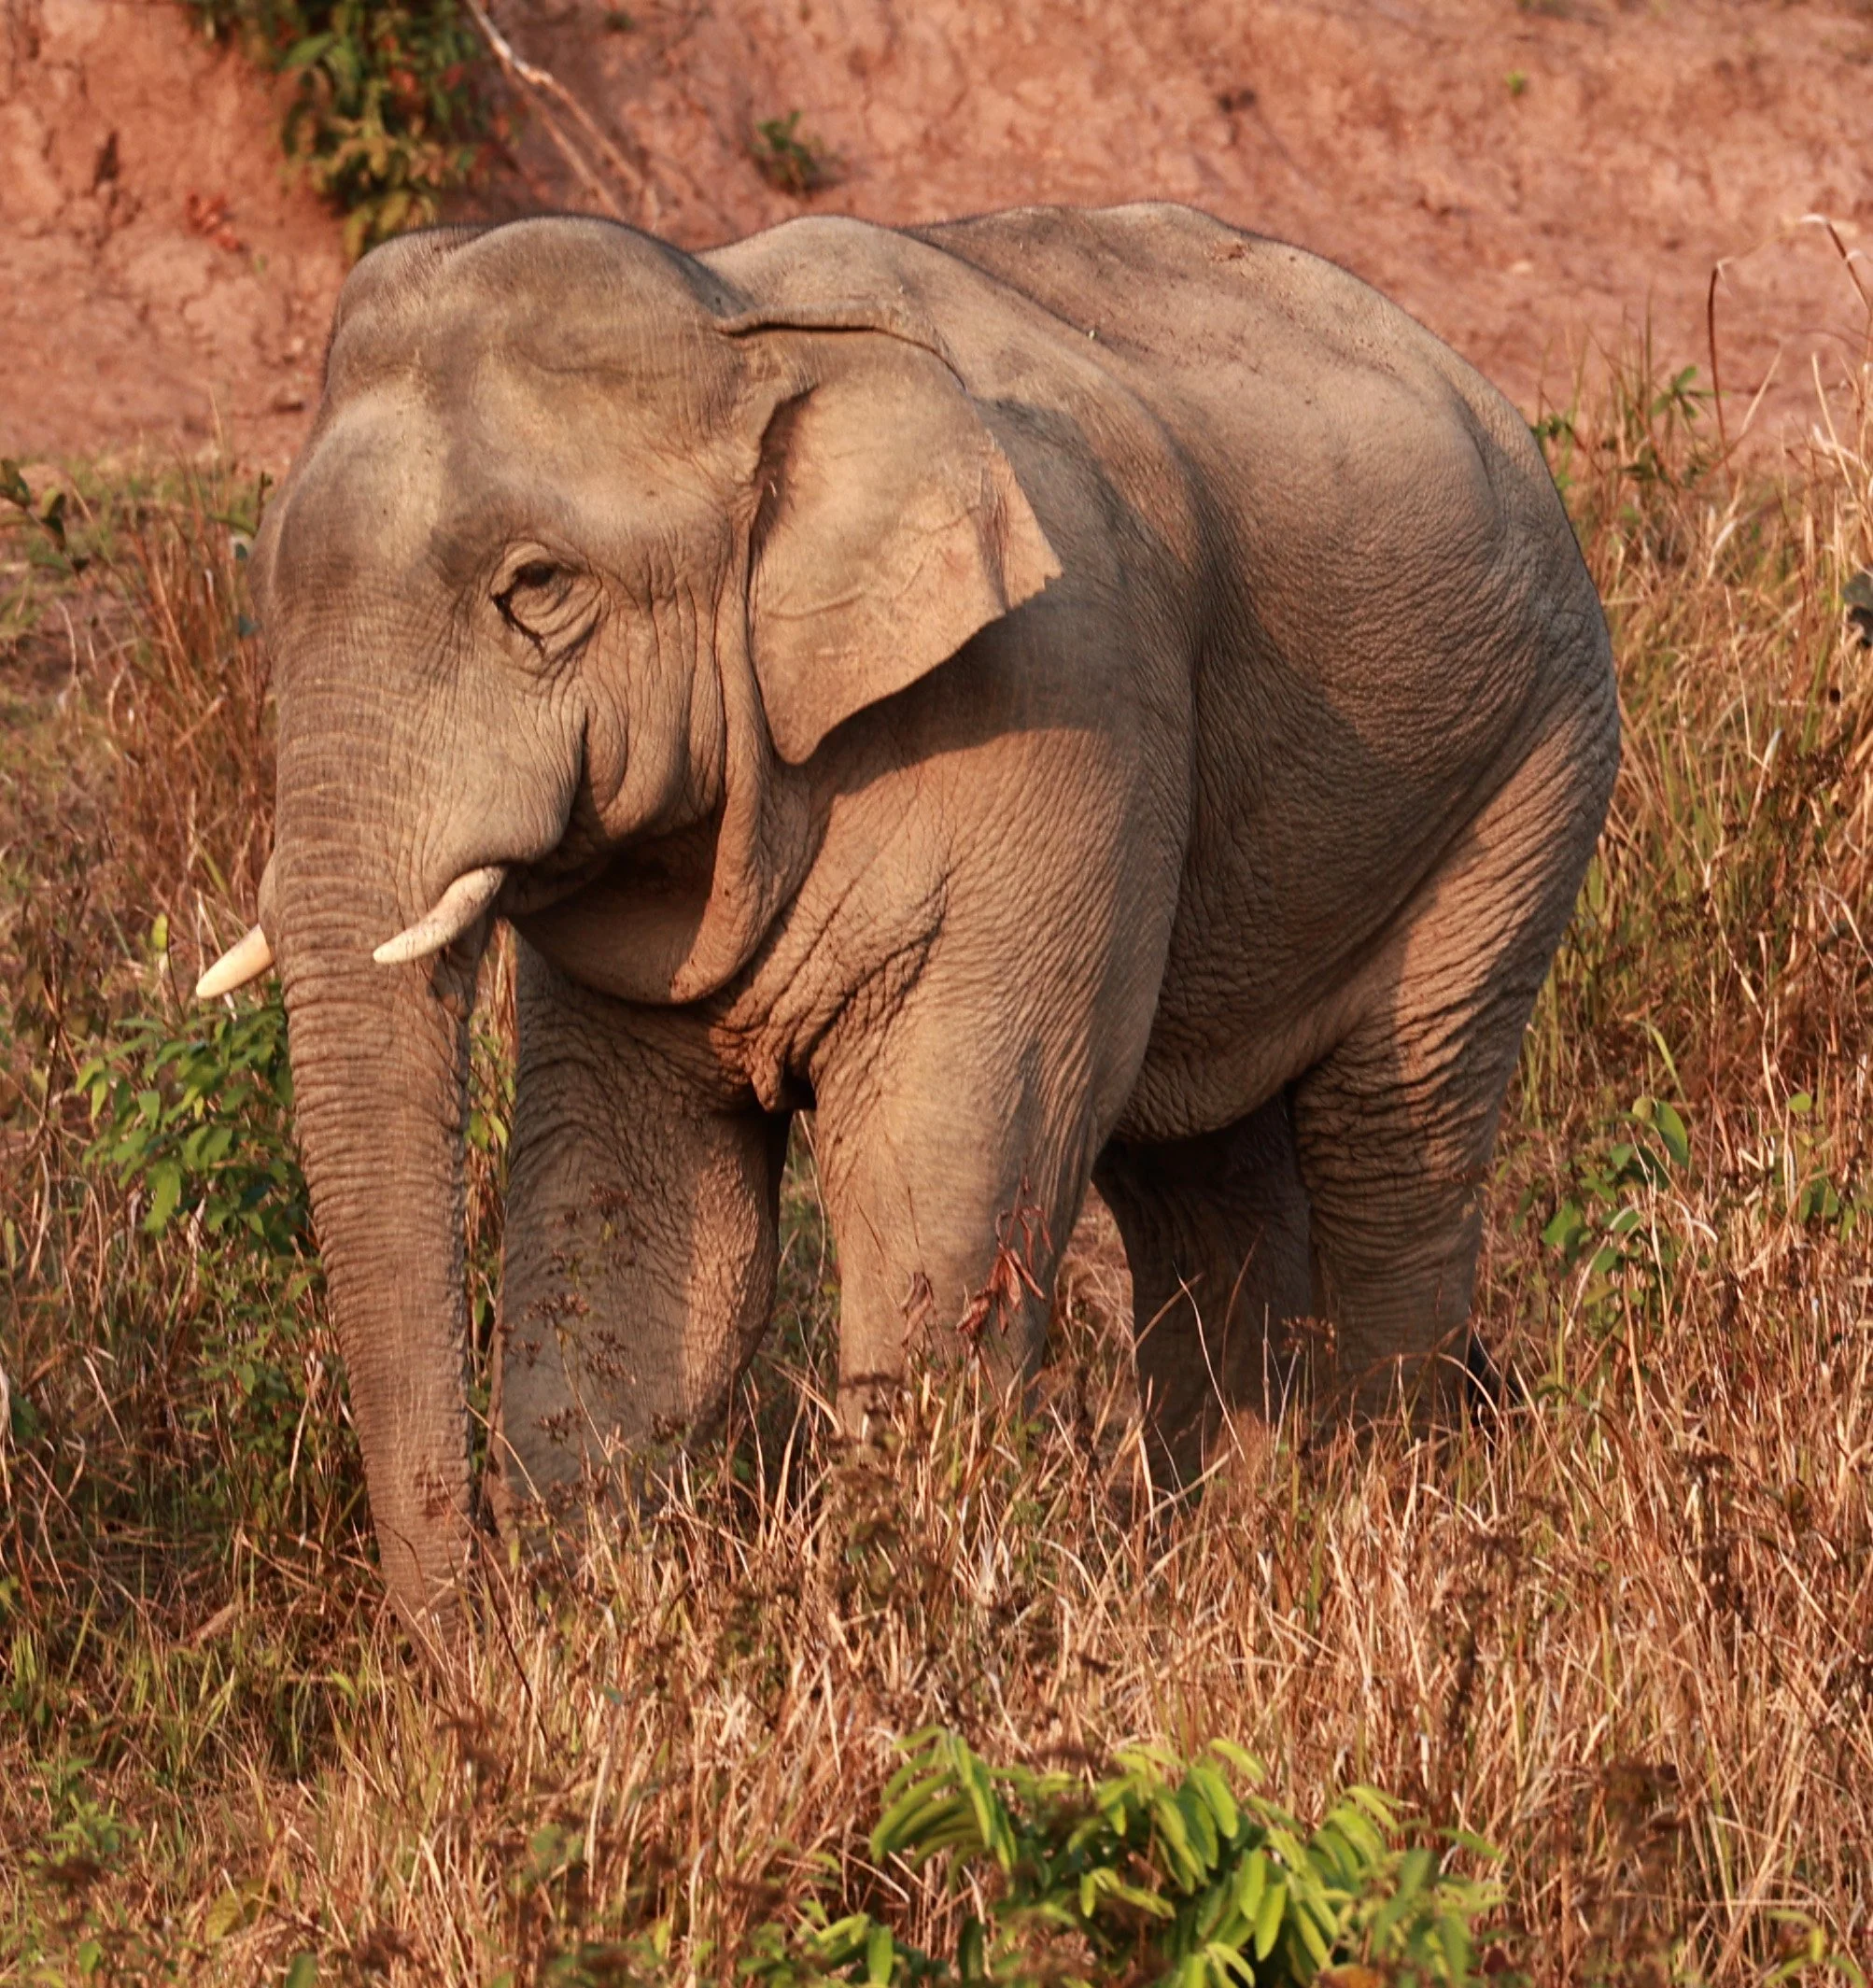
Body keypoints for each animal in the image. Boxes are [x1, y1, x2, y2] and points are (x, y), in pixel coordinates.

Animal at [199, 202, 1617, 1632]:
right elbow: (636, 1213)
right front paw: (596, 1630)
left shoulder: (1056, 709)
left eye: (536, 585)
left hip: (1531, 760)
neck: (740, 325)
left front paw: (904, 1607)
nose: (459, 1628)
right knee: (1200, 1177)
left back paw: (1384, 1529)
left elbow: (940, 1172)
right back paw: (1226, 1553)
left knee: (1390, 1136)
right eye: (260, 599)